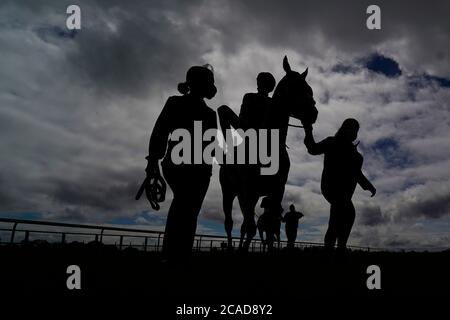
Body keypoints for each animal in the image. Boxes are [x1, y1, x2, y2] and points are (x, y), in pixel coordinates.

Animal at [217, 57, 316, 250]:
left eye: (309, 90)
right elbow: (252, 227)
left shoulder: (277, 190)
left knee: (244, 225)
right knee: (230, 223)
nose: (313, 113)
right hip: (229, 192)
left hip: (250, 196)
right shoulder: (248, 189)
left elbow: (269, 231)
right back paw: (232, 247)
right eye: (293, 87)